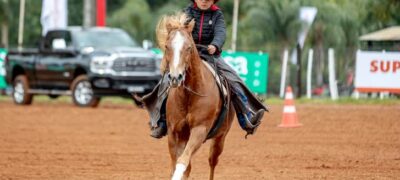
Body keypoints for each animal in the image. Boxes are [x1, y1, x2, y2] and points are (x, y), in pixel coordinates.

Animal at [156, 13, 236, 179]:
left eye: (188, 47)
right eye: (167, 47)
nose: (176, 77)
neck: (189, 96)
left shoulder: (199, 130)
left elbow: (183, 161)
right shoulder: (174, 132)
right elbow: (177, 164)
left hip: (220, 138)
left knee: (212, 162)